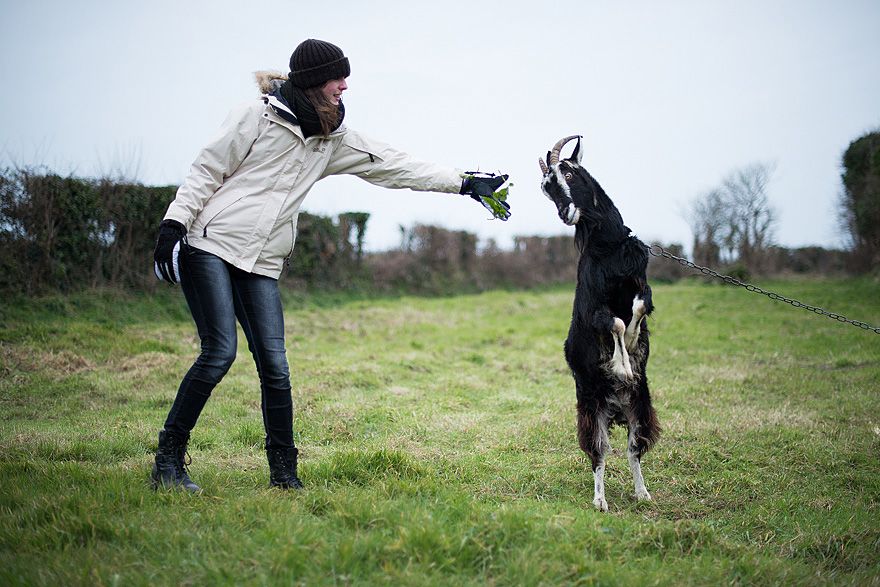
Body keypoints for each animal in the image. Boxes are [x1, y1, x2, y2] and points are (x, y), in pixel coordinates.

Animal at [536, 136, 660, 512]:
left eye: (569, 172)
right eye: (546, 187)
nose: (566, 213)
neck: (609, 248)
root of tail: (616, 410)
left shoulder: (642, 285)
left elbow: (638, 308)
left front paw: (634, 346)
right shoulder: (593, 308)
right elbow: (615, 323)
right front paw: (622, 365)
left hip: (641, 407)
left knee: (634, 450)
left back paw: (643, 493)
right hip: (591, 410)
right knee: (599, 453)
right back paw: (600, 501)